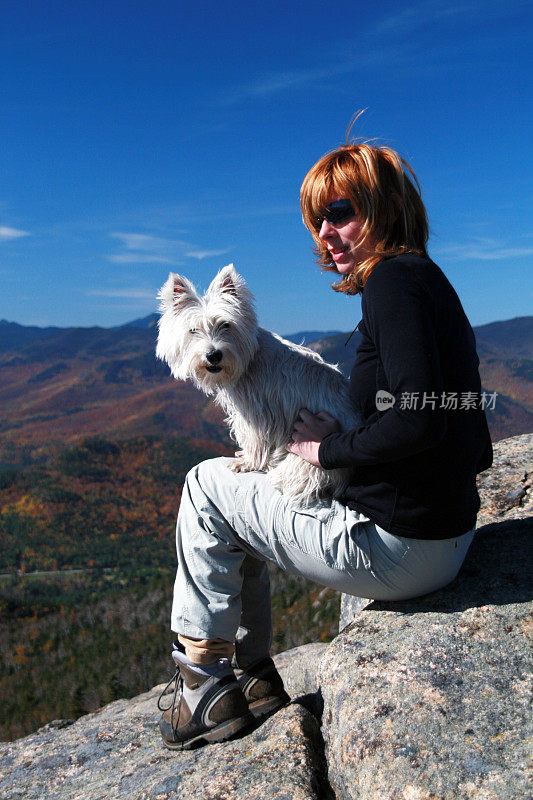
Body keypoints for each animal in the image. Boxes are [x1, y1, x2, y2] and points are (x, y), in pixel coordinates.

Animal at [155, 264, 362, 506]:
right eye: (193, 330)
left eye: (226, 324)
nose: (213, 355)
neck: (249, 359)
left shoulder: (257, 411)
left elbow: (254, 438)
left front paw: (247, 463)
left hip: (307, 463)